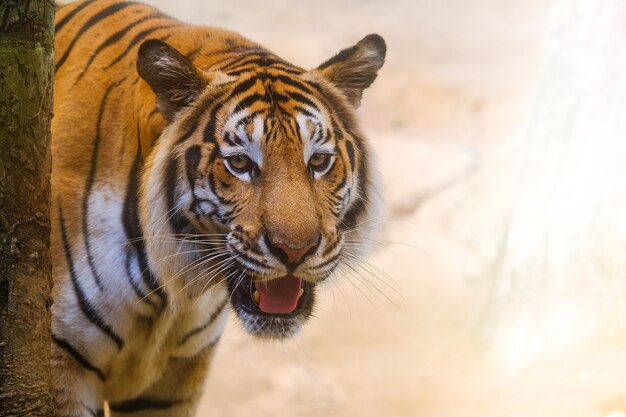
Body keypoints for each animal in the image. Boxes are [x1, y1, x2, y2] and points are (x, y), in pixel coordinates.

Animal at [51, 0, 386, 412]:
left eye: (319, 161)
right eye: (239, 163)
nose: (296, 251)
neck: (170, 291)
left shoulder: (176, 378)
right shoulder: (62, 368)